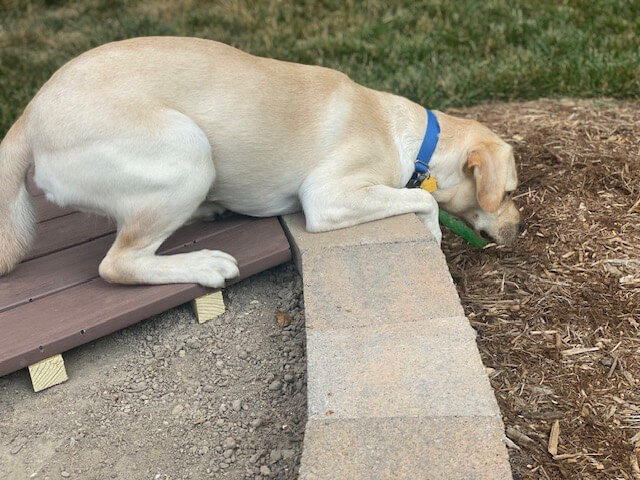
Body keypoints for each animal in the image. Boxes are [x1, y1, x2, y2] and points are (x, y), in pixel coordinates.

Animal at [0, 37, 524, 286]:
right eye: (509, 193)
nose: (519, 230)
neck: (414, 139)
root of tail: (30, 112)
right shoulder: (326, 197)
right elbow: (423, 202)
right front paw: (434, 232)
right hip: (189, 151)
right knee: (117, 264)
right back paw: (200, 264)